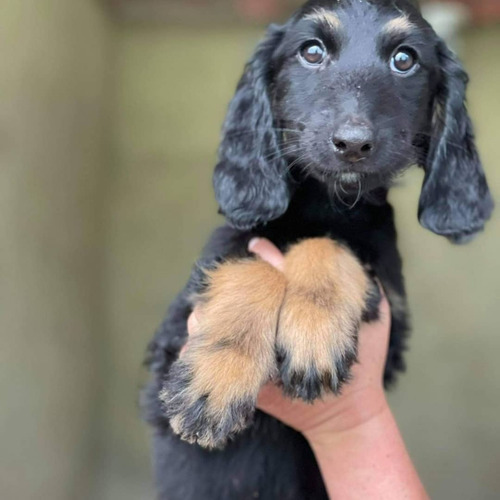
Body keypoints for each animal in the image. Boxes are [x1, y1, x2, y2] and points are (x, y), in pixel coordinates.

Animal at [144, 1, 492, 498]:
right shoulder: (177, 324)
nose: (352, 144)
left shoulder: (392, 313)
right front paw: (214, 381)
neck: (327, 202)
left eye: (405, 60)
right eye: (311, 51)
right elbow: (250, 262)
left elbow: (330, 245)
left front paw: (314, 334)